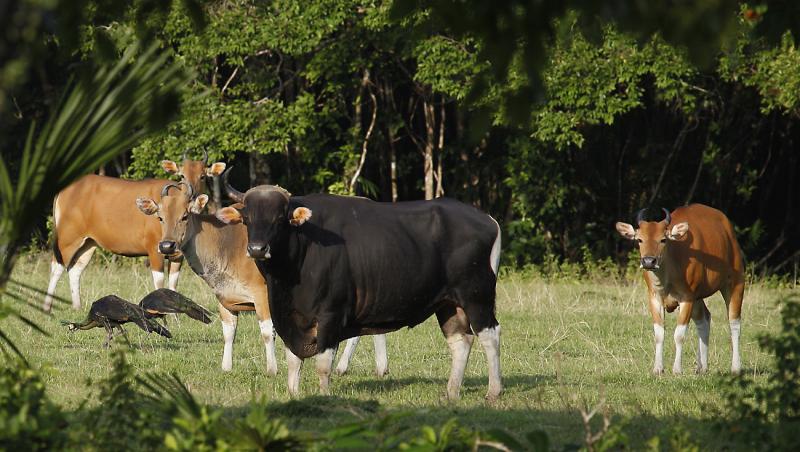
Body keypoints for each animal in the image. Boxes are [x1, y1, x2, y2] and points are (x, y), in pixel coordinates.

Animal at [44, 154, 225, 312]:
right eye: (182, 175)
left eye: (203, 176)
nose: (192, 195)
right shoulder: (154, 250)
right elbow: (160, 284)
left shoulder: (177, 255)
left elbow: (173, 285)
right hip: (68, 238)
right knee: (56, 267)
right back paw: (47, 307)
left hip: (89, 242)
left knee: (75, 269)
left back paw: (77, 307)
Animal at [216, 178, 504, 400]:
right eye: (247, 219)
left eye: (279, 219)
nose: (257, 249)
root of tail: (488, 220)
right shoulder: (290, 318)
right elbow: (293, 361)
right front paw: (293, 394)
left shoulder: (330, 315)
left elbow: (323, 365)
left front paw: (324, 395)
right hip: (448, 303)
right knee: (460, 341)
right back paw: (451, 392)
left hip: (477, 295)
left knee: (490, 335)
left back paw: (494, 390)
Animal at [616, 205, 748, 374]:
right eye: (639, 239)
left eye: (663, 239)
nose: (649, 261)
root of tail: (729, 232)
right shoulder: (654, 298)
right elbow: (659, 334)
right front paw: (658, 368)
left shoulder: (687, 298)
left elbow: (679, 335)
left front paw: (677, 369)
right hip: (699, 296)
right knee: (704, 319)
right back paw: (702, 367)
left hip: (735, 283)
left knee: (734, 323)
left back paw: (736, 367)